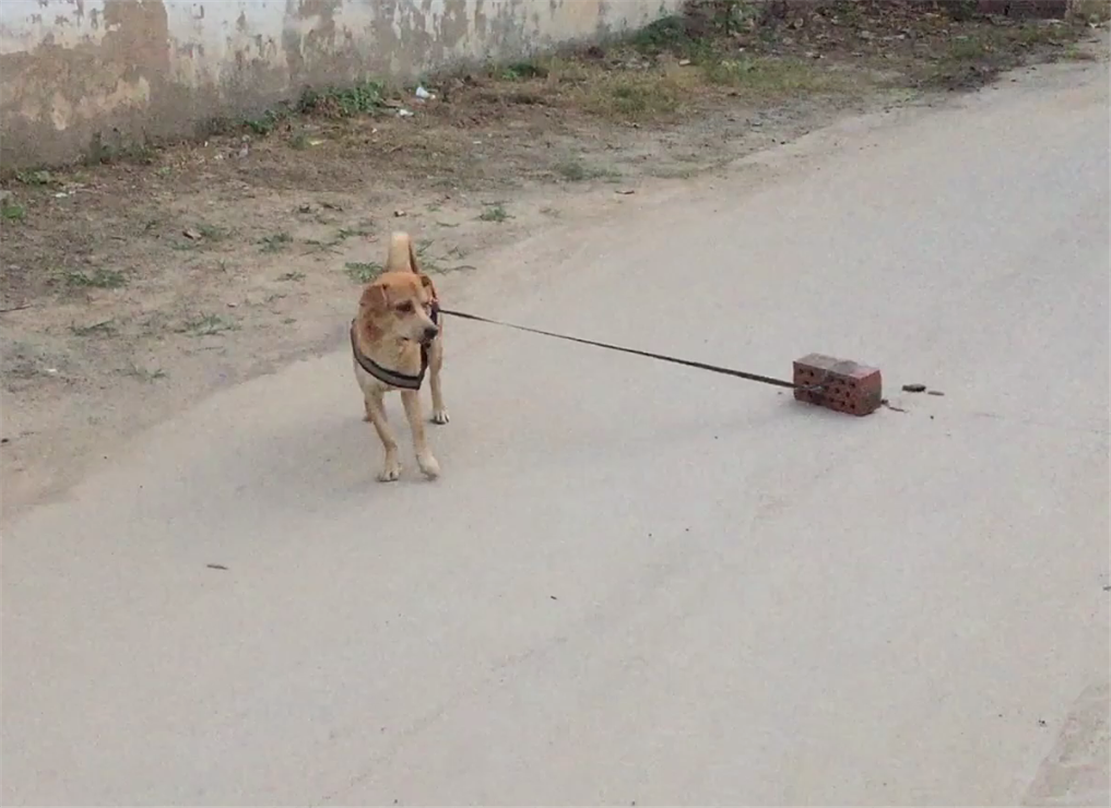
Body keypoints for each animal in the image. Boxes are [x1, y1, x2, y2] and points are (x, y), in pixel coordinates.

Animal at [348, 231, 448, 484]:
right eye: (403, 307)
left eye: (425, 305)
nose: (431, 330)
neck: (389, 346)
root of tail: (400, 267)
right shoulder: (373, 393)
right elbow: (387, 436)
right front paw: (392, 464)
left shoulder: (409, 392)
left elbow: (418, 432)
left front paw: (426, 463)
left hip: (436, 353)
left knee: (435, 380)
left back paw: (439, 409)